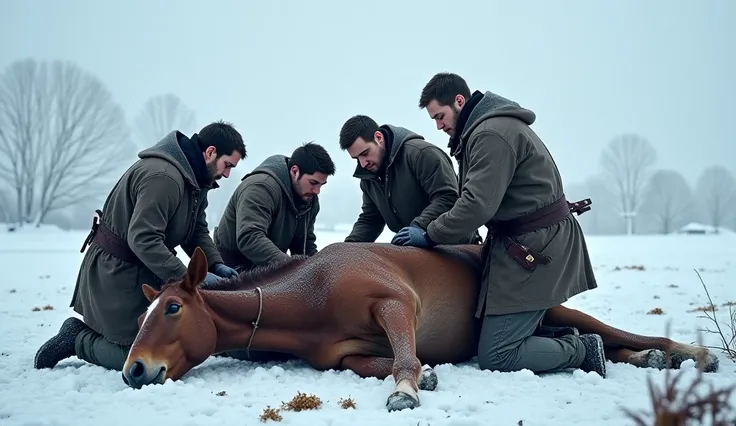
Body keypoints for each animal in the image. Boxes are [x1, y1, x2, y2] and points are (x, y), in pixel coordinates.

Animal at [122, 243, 720, 412]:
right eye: (143, 315)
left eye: (172, 309)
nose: (133, 371)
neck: (314, 291)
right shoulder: (344, 356)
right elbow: (375, 363)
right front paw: (425, 377)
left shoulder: (394, 303)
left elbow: (404, 358)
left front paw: (408, 390)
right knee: (598, 345)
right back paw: (637, 360)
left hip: (558, 309)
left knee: (620, 334)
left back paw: (687, 353)